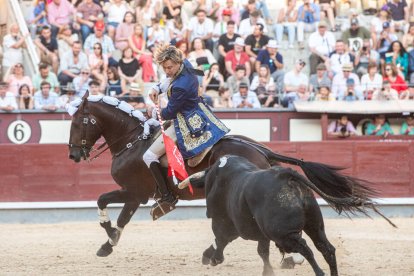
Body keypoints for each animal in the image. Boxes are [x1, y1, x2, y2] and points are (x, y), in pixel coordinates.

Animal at [68, 94, 394, 258]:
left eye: (78, 122)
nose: (73, 155)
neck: (132, 140)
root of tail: (262, 150)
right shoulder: (135, 195)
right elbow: (113, 211)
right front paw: (108, 243)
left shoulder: (135, 192)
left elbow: (108, 205)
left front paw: (107, 237)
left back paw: (289, 256)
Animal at [180, 155, 394, 276]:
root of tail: (285, 174)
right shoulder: (262, 234)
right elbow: (262, 252)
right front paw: (267, 272)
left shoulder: (222, 222)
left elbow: (221, 239)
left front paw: (214, 258)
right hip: (314, 225)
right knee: (326, 248)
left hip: (283, 234)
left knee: (306, 248)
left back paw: (320, 272)